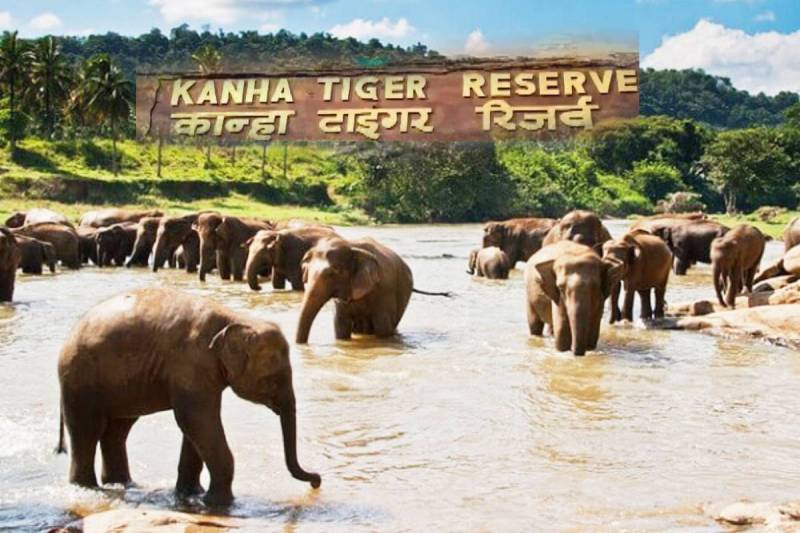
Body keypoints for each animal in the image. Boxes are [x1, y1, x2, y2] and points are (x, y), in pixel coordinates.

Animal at [57, 288, 320, 506]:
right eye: (274, 378)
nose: (316, 480)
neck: (236, 318)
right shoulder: (191, 363)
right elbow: (196, 420)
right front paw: (218, 503)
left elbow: (194, 427)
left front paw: (192, 495)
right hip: (79, 381)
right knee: (87, 430)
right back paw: (88, 488)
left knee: (118, 430)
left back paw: (124, 485)